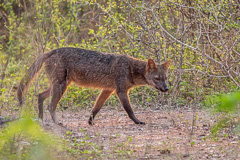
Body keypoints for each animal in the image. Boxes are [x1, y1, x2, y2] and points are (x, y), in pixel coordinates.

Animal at [17, 47, 171, 125]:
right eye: (157, 78)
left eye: (165, 78)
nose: (166, 89)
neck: (130, 68)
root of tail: (52, 50)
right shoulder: (120, 91)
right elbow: (129, 110)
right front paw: (138, 122)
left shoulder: (107, 90)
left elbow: (95, 109)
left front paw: (90, 122)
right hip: (60, 87)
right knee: (51, 106)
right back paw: (57, 123)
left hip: (59, 86)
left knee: (40, 96)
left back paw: (41, 119)